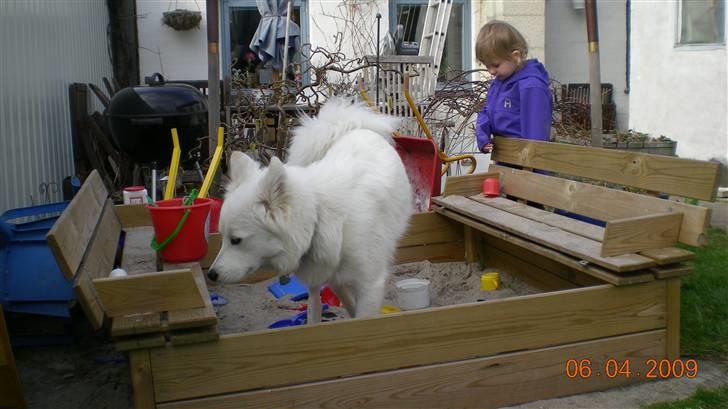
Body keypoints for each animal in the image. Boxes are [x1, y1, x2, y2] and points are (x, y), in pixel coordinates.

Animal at [209, 98, 416, 322]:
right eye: (222, 237)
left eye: (236, 240)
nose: (211, 274)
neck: (318, 217)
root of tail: (355, 129)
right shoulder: (321, 277)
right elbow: (316, 312)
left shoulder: (370, 285)